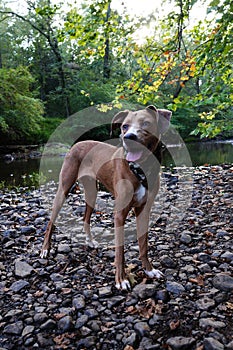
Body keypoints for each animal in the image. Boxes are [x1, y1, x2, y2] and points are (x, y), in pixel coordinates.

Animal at [40, 104, 171, 290]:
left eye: (146, 123)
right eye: (124, 126)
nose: (129, 137)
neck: (139, 168)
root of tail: (77, 143)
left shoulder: (144, 210)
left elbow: (143, 245)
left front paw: (149, 270)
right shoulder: (119, 214)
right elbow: (120, 251)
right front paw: (121, 279)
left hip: (92, 192)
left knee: (86, 217)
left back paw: (90, 241)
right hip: (63, 189)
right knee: (51, 221)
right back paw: (45, 249)